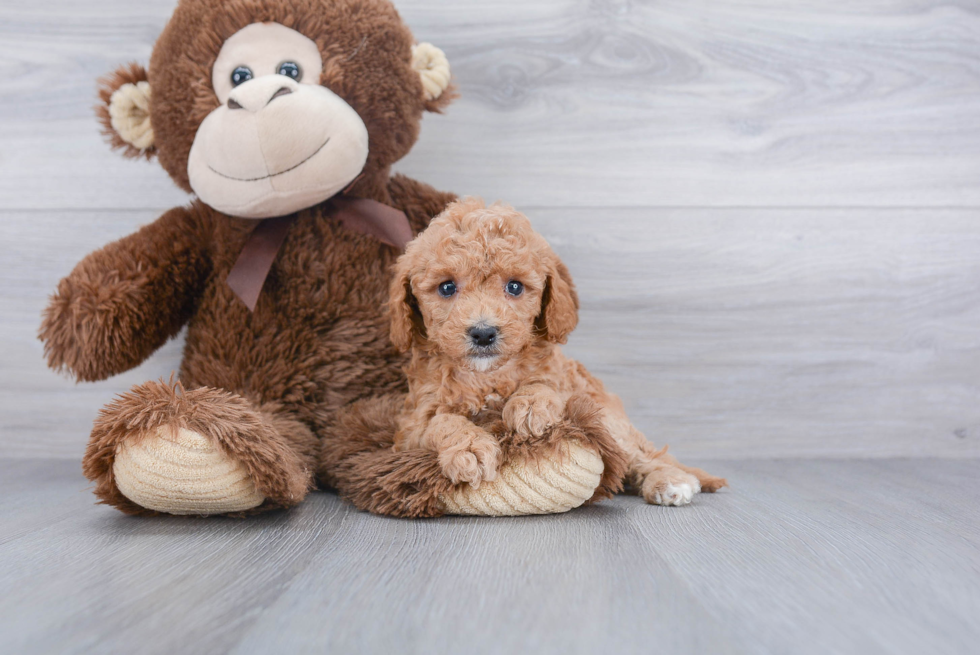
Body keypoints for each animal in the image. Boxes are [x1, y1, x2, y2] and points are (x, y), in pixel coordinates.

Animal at [386, 200, 724, 508]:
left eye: (514, 287)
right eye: (446, 288)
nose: (483, 333)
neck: (488, 375)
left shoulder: (565, 383)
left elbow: (546, 386)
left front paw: (530, 404)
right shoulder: (411, 426)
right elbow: (441, 422)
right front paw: (469, 448)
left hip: (608, 417)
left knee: (642, 454)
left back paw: (669, 480)